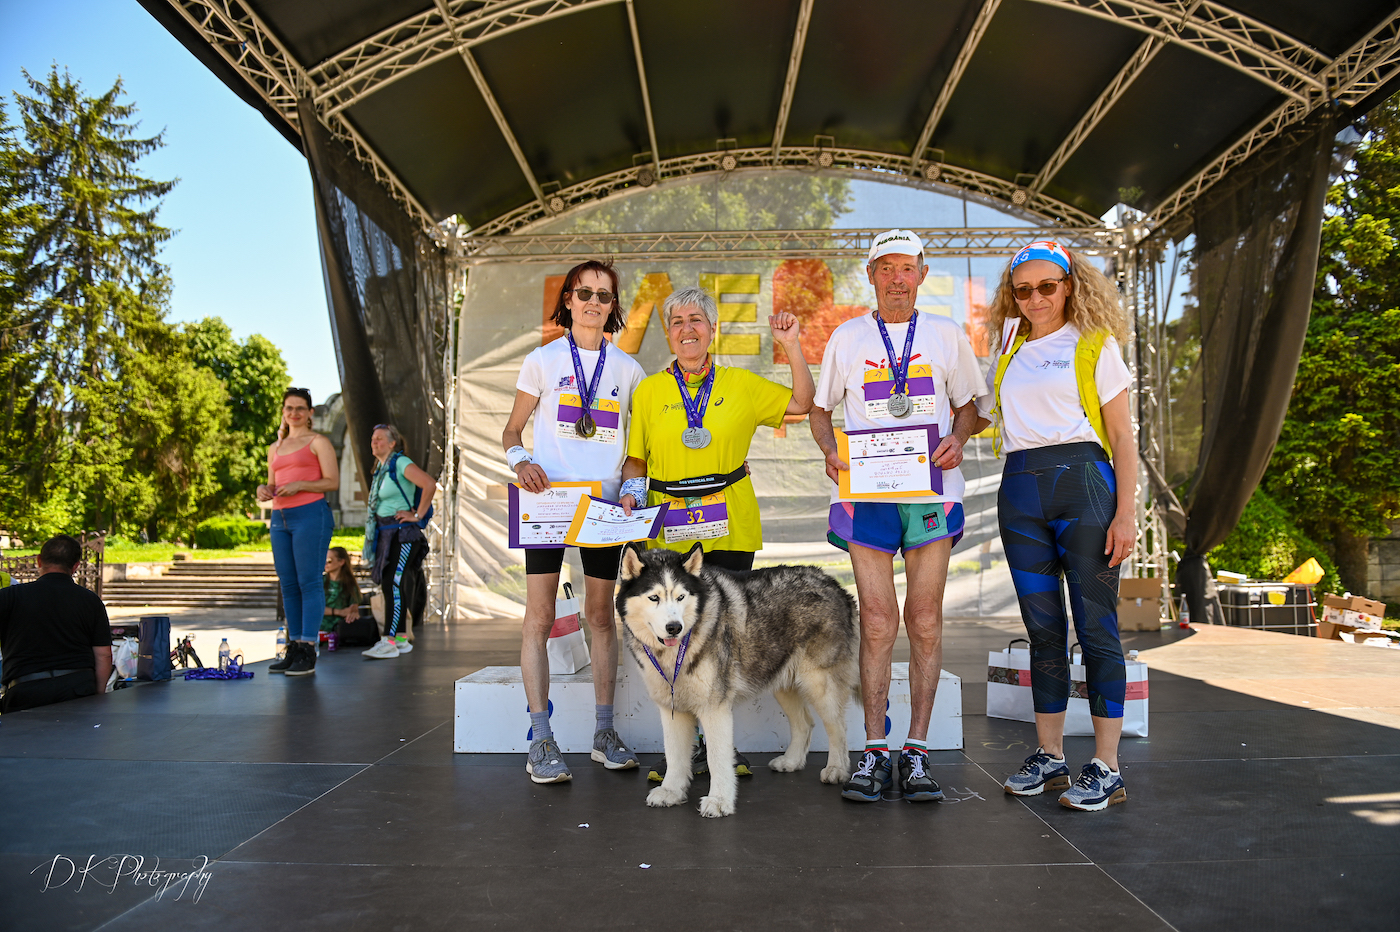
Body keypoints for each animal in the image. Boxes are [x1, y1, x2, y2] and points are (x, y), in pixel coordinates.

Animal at [618, 537, 856, 811]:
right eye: (654, 597)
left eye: (680, 597)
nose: (674, 627)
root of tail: (833, 583)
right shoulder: (672, 708)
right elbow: (675, 755)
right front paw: (671, 791)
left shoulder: (715, 708)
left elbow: (717, 758)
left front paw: (719, 800)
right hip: (781, 680)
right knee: (805, 723)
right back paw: (791, 761)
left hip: (820, 684)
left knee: (838, 727)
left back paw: (837, 768)